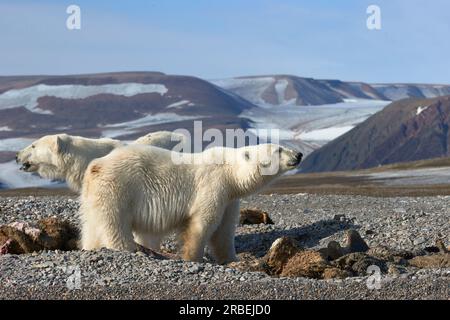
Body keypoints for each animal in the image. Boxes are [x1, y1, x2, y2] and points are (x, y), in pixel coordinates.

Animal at [78, 144, 302, 264]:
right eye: (279, 149)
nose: (299, 154)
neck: (230, 172)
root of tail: (95, 166)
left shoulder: (229, 199)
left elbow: (224, 231)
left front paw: (231, 259)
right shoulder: (213, 185)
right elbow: (202, 224)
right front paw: (193, 258)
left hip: (93, 196)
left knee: (92, 227)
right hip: (118, 189)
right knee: (114, 224)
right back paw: (128, 249)